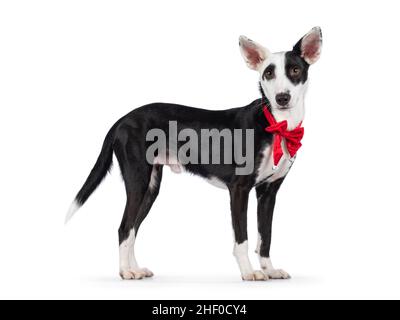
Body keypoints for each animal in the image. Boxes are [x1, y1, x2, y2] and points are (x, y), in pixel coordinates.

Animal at [65, 28, 322, 282]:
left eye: (295, 70)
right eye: (268, 73)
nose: (282, 98)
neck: (276, 125)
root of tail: (122, 120)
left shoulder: (268, 193)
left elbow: (265, 237)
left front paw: (270, 270)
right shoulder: (239, 189)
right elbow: (242, 239)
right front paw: (249, 272)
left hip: (151, 187)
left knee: (132, 229)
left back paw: (136, 269)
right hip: (138, 180)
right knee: (124, 228)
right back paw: (125, 271)